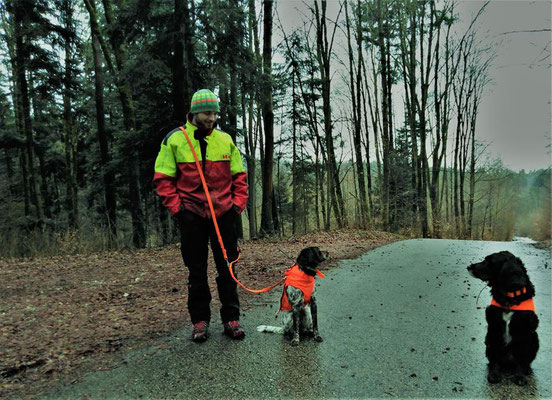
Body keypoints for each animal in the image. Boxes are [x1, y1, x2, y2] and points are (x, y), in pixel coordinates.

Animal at [466, 252, 540, 386]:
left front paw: (520, 376)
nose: (469, 266)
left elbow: (521, 357)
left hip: (534, 337)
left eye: (488, 261)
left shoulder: (524, 330)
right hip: (488, 341)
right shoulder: (494, 328)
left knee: (525, 360)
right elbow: (496, 356)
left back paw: (527, 369)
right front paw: (494, 374)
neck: (509, 297)